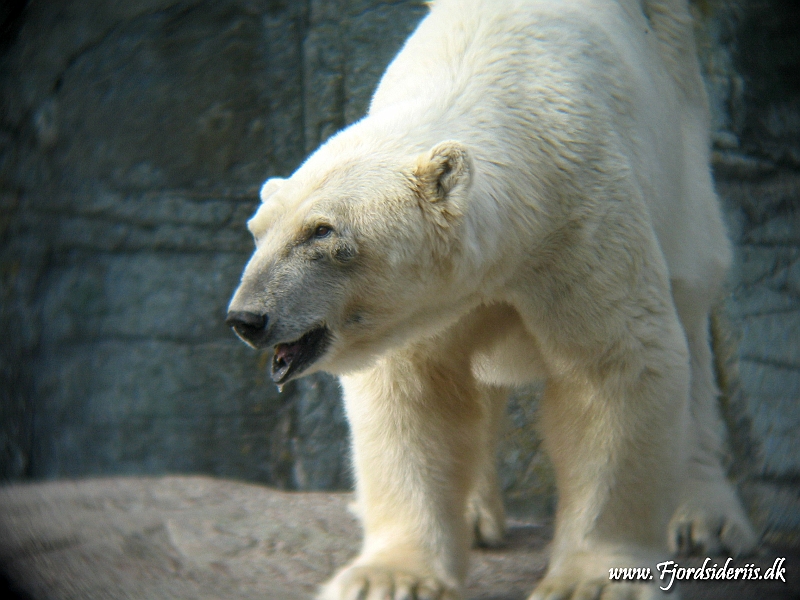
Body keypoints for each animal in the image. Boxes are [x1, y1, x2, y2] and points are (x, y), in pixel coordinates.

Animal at [227, 1, 756, 600]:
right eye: (257, 231)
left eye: (322, 232)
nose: (247, 318)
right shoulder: (433, 303)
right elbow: (414, 392)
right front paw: (389, 577)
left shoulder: (580, 222)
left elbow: (616, 365)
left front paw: (590, 580)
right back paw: (474, 514)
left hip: (681, 146)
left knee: (692, 297)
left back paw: (705, 516)